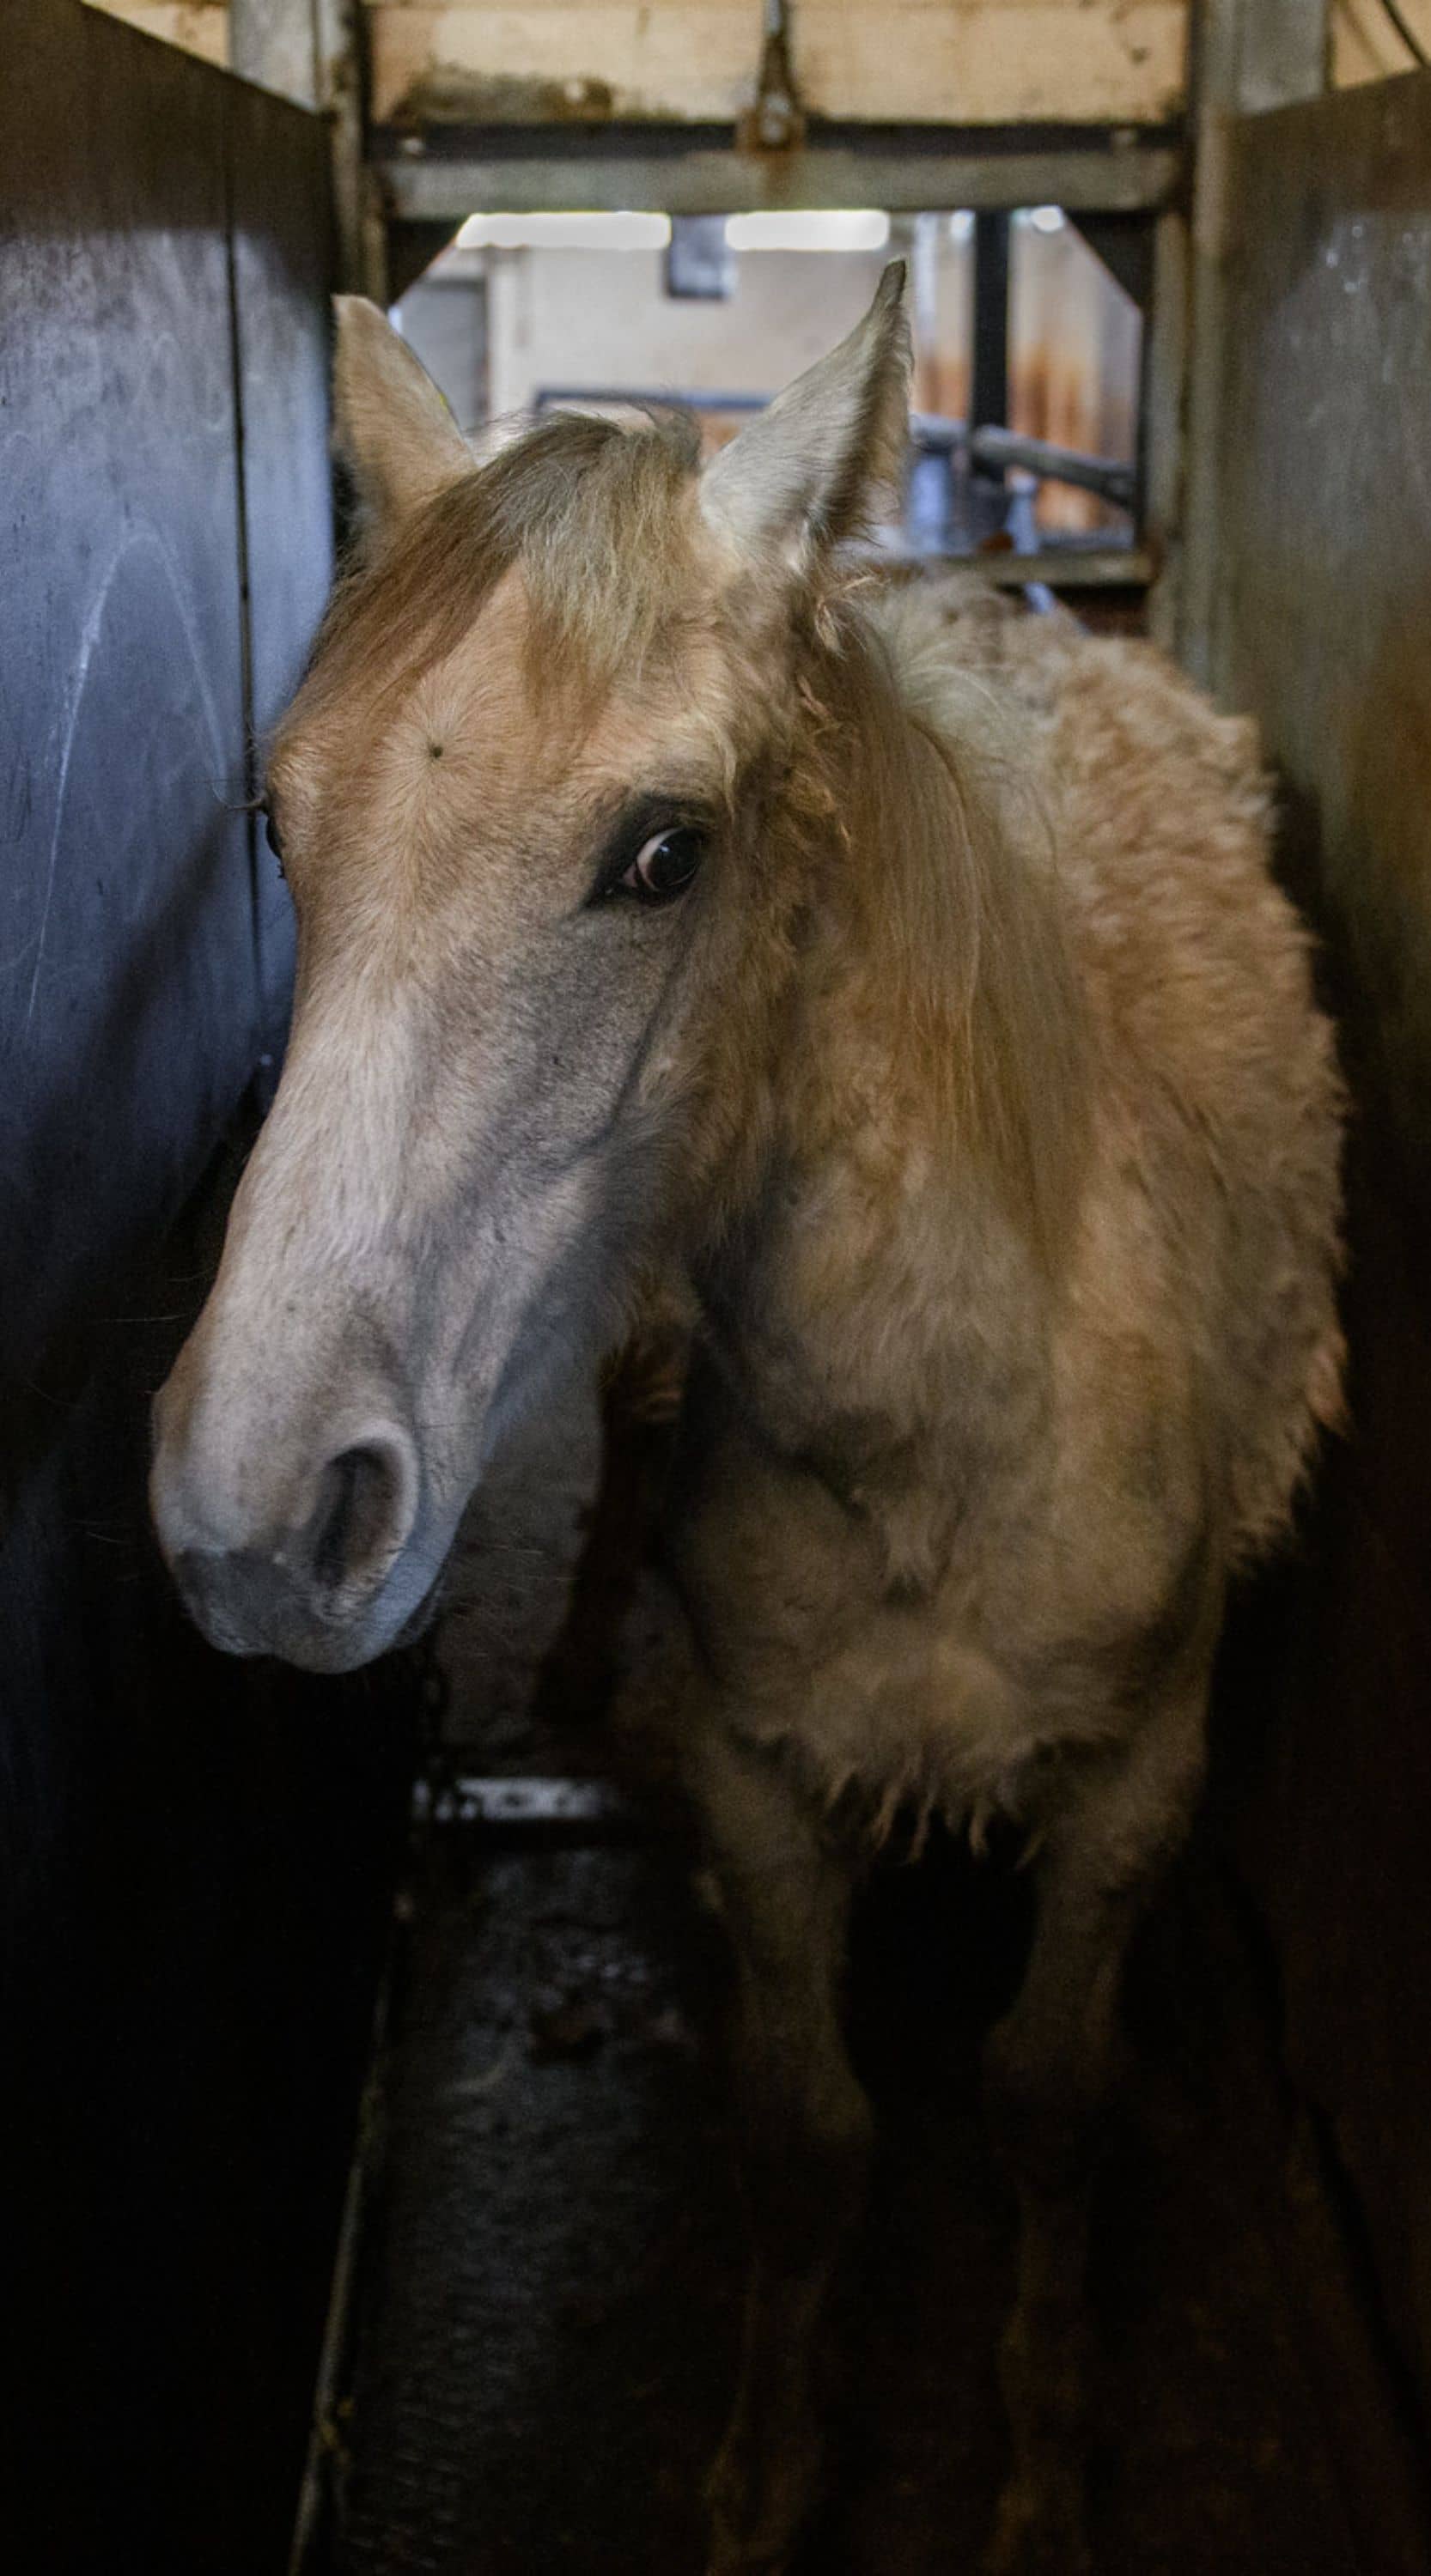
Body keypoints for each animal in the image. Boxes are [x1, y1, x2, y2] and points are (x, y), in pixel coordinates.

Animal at [150, 267, 1344, 2574]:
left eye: (661, 853)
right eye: (281, 823)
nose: (253, 1517)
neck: (950, 1438)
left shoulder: (1136, 1782)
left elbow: (1048, 2106)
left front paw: (1041, 2466)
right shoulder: (761, 1782)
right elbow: (805, 2139)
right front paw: (771, 2475)